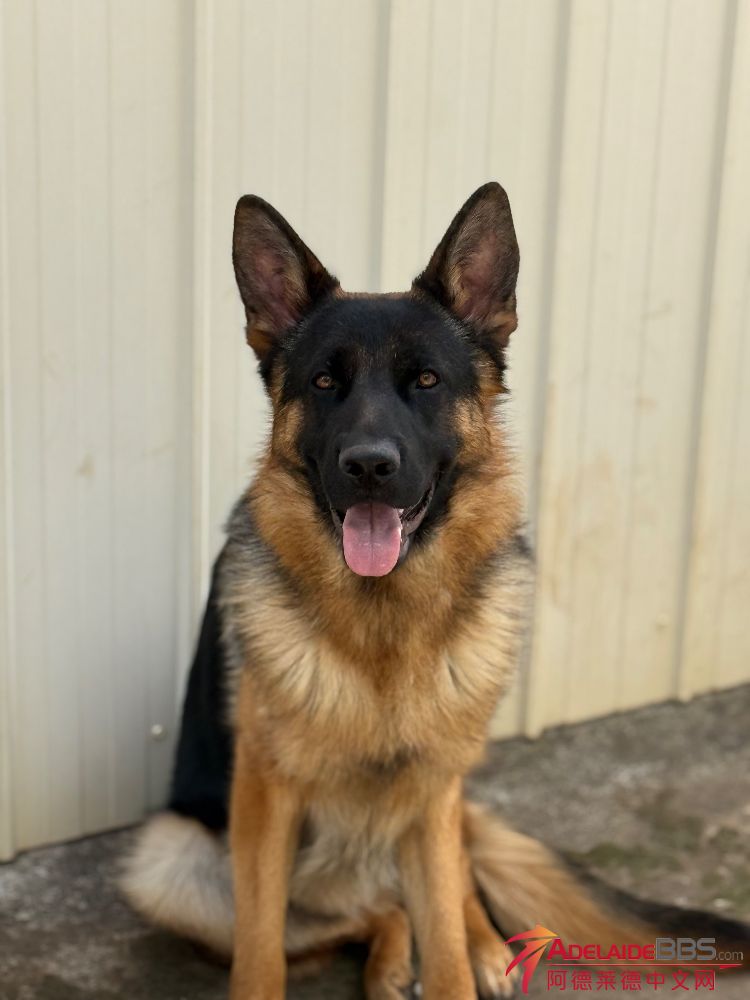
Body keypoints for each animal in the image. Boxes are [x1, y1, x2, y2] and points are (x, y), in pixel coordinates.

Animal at [122, 184, 749, 999]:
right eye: (324, 382)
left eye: (426, 381)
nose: (368, 467)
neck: (384, 633)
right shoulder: (263, 800)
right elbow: (261, 954)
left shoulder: (431, 796)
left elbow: (445, 933)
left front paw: (464, 954)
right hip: (173, 861)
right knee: (367, 912)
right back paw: (390, 958)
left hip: (440, 801)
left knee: (453, 885)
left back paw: (487, 946)